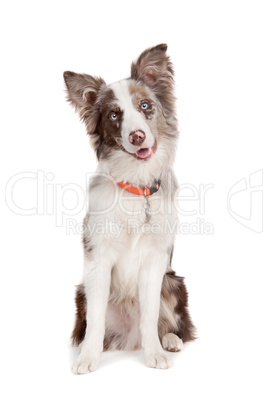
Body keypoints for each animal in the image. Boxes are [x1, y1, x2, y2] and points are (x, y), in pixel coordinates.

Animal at [63, 44, 196, 374]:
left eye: (145, 105)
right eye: (114, 115)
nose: (137, 136)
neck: (137, 186)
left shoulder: (155, 259)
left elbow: (150, 315)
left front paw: (155, 353)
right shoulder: (98, 258)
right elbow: (96, 320)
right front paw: (88, 358)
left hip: (173, 282)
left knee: (169, 323)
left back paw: (170, 340)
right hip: (81, 291)